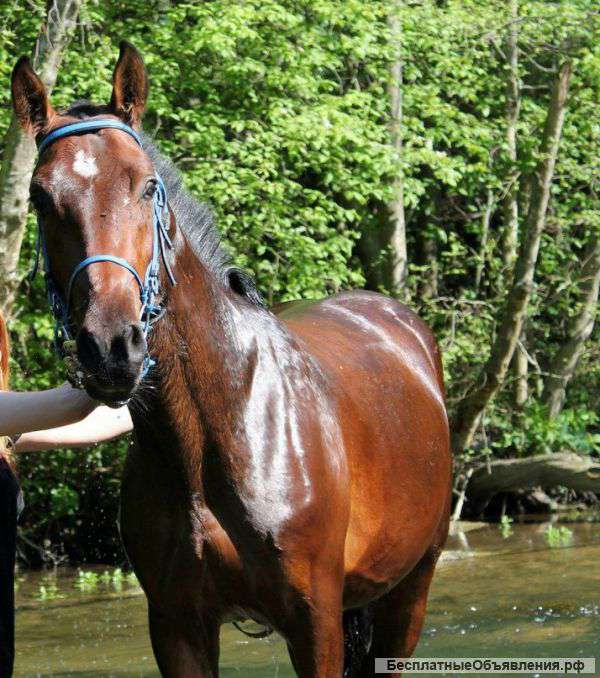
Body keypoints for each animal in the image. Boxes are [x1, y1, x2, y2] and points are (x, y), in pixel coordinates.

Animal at [11, 42, 451, 677]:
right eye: (41, 198)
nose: (111, 348)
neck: (216, 434)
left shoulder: (315, 624)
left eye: (146, 186)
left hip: (409, 593)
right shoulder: (178, 627)